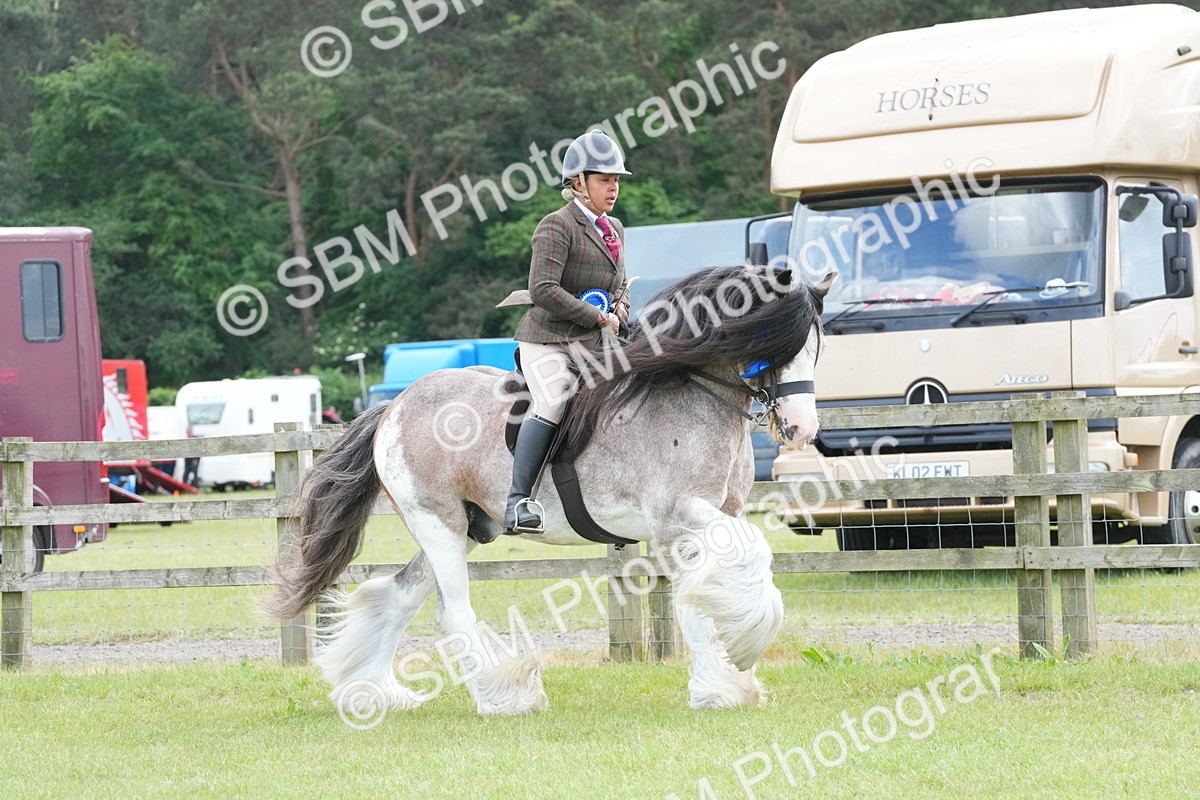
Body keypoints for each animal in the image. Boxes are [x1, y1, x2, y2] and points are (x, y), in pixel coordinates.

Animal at [265, 264, 831, 715]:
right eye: (773, 346)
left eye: (815, 349)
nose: (802, 428)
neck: (689, 391)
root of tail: (396, 405)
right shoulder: (678, 516)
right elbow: (748, 556)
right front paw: (744, 649)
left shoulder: (708, 519)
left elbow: (699, 598)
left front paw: (721, 689)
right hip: (437, 522)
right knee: (452, 611)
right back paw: (506, 697)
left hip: (467, 527)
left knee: (401, 597)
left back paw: (370, 693)